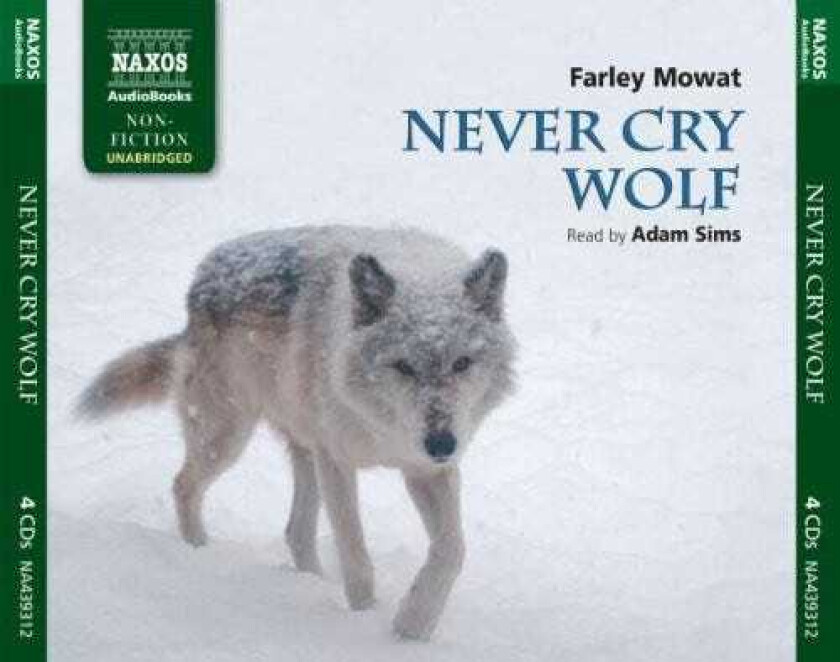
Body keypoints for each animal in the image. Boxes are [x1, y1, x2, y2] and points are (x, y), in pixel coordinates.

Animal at [78, 225, 516, 640]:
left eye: (462, 363)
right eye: (404, 366)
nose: (442, 442)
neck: (382, 428)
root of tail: (201, 277)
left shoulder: (427, 471)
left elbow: (452, 551)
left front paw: (414, 624)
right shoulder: (338, 463)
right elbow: (355, 556)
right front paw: (365, 619)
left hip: (303, 452)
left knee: (296, 532)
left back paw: (312, 583)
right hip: (228, 437)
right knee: (183, 485)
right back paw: (199, 552)